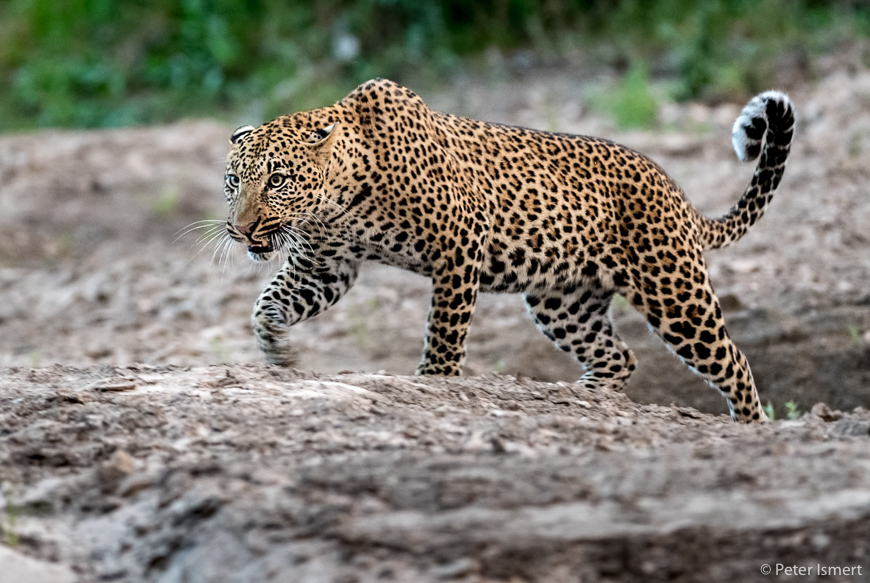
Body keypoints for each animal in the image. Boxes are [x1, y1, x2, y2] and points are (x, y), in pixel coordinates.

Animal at [222, 78, 794, 423]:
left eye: (277, 180)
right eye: (233, 181)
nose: (240, 229)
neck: (339, 197)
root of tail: (678, 194)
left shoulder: (459, 245)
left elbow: (445, 330)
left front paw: (434, 382)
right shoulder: (326, 265)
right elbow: (266, 304)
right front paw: (277, 353)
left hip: (675, 293)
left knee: (733, 362)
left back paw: (751, 427)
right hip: (562, 302)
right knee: (619, 356)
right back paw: (580, 397)